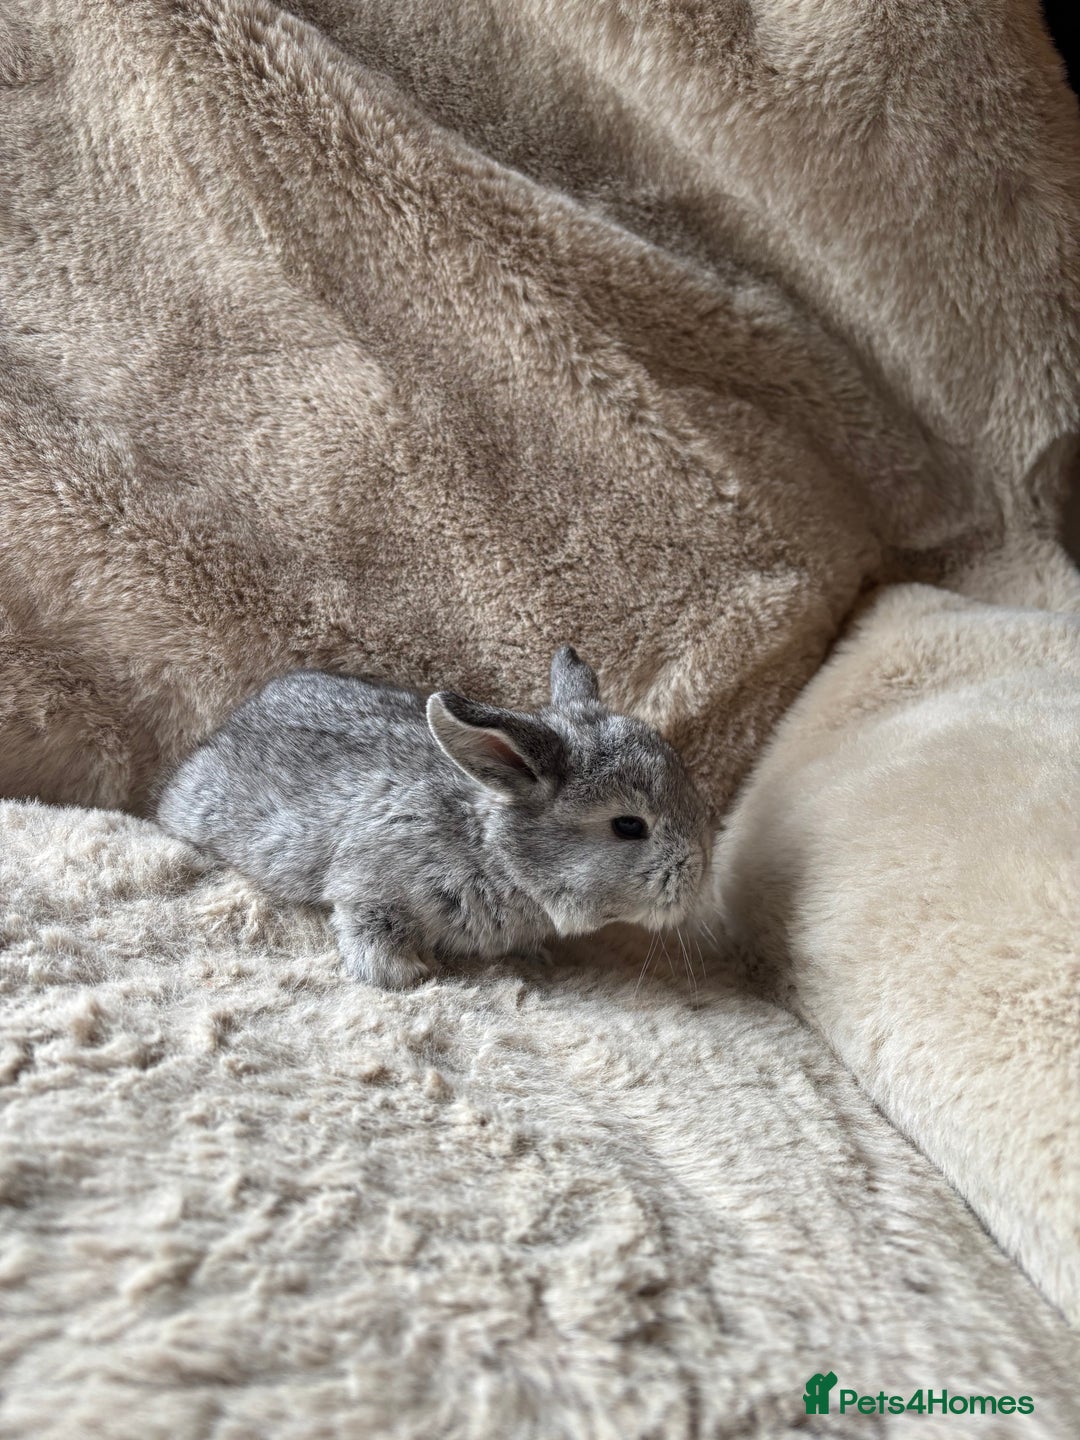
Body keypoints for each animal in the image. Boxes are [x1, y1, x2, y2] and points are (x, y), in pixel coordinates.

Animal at [156, 645, 712, 988]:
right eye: (628, 825)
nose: (698, 878)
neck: (494, 852)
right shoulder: (371, 883)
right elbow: (367, 926)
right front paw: (404, 974)